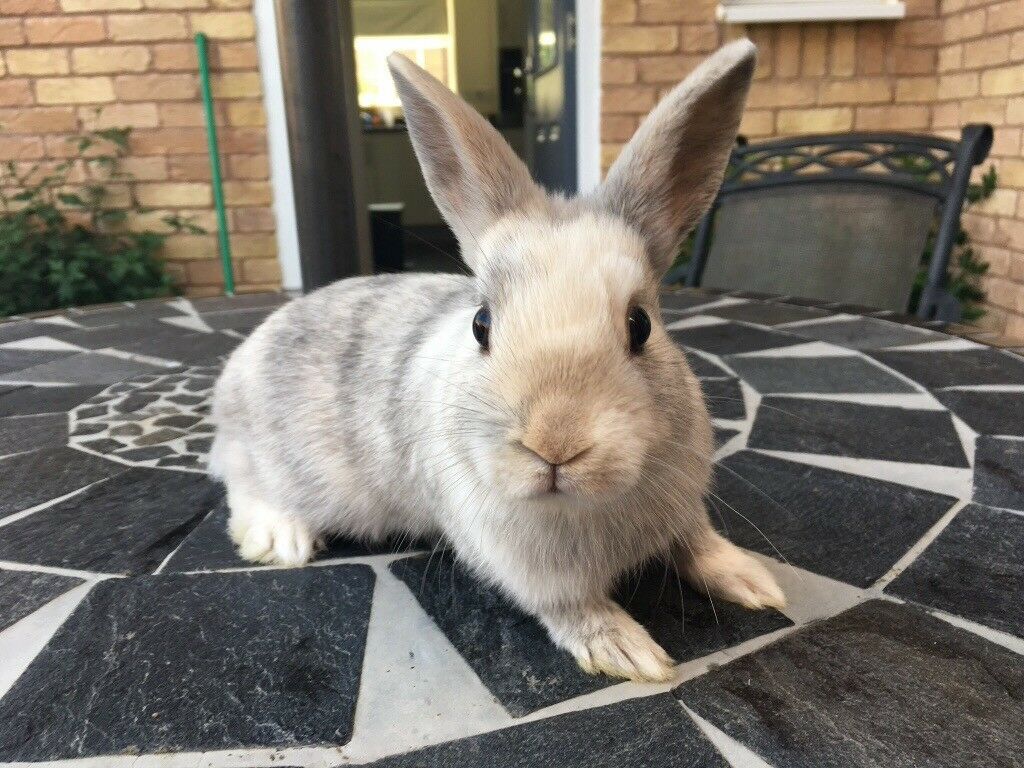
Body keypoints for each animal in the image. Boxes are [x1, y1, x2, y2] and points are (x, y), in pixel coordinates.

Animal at [209, 39, 784, 683]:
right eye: (481, 325)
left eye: (641, 326)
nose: (555, 443)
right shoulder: (531, 571)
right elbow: (572, 607)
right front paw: (627, 650)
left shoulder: (683, 509)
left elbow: (699, 545)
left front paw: (753, 581)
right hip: (264, 457)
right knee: (240, 481)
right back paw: (279, 537)